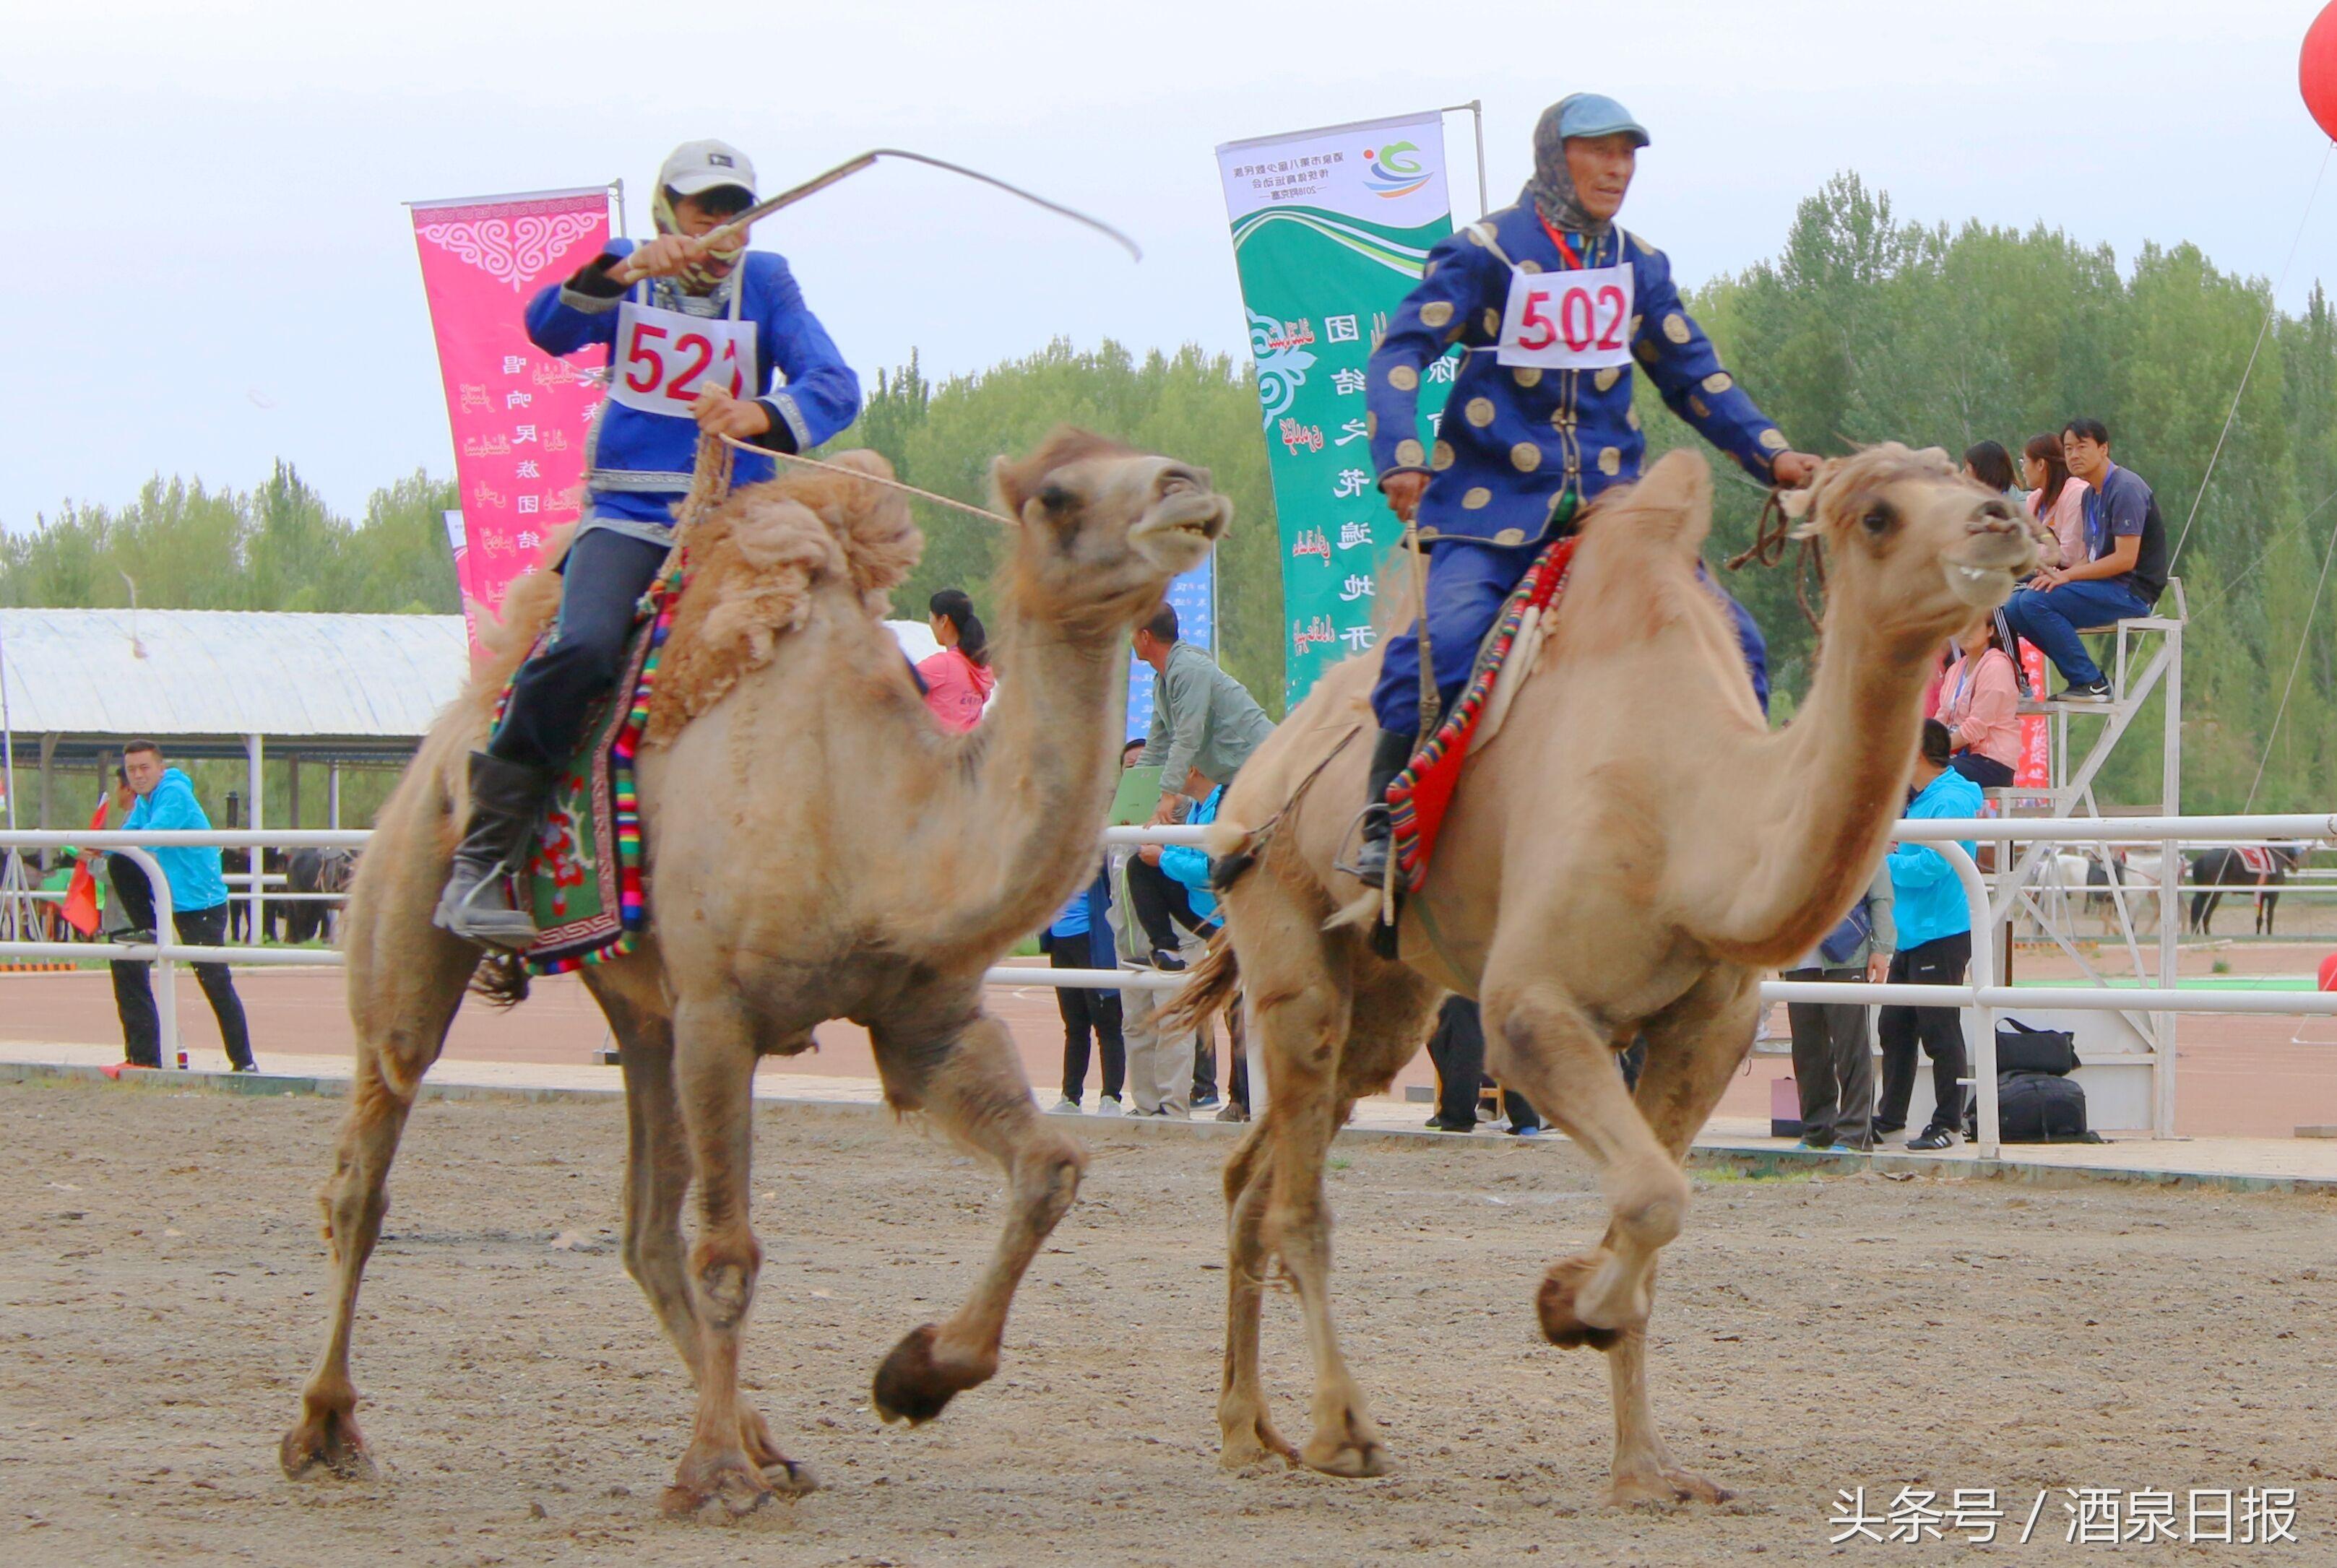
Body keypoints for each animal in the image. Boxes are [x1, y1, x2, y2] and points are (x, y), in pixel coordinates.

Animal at [275, 432, 1234, 1523]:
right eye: (1059, 495)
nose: (1188, 488)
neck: (875, 809)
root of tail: (443, 733)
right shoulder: (720, 1013)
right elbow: (730, 1251)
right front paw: (714, 1476)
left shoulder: (922, 1015)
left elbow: (1050, 1167)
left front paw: (911, 1375)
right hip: (412, 908)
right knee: (368, 1159)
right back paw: (327, 1428)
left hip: (641, 1009)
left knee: (643, 1226)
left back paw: (767, 1440)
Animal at [1178, 443, 2037, 1504]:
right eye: (1878, 514)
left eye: (1963, 475)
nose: (2004, 522)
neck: (1690, 826)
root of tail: (1259, 765)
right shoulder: (1531, 1009)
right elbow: (1650, 1197)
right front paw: (1563, 1303)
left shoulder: (1704, 1026)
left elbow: (1650, 1210)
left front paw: (1646, 1466)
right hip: (1283, 922)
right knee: (1300, 1193)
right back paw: (1339, 1431)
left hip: (1388, 997)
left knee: (1255, 1170)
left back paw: (1248, 1427)